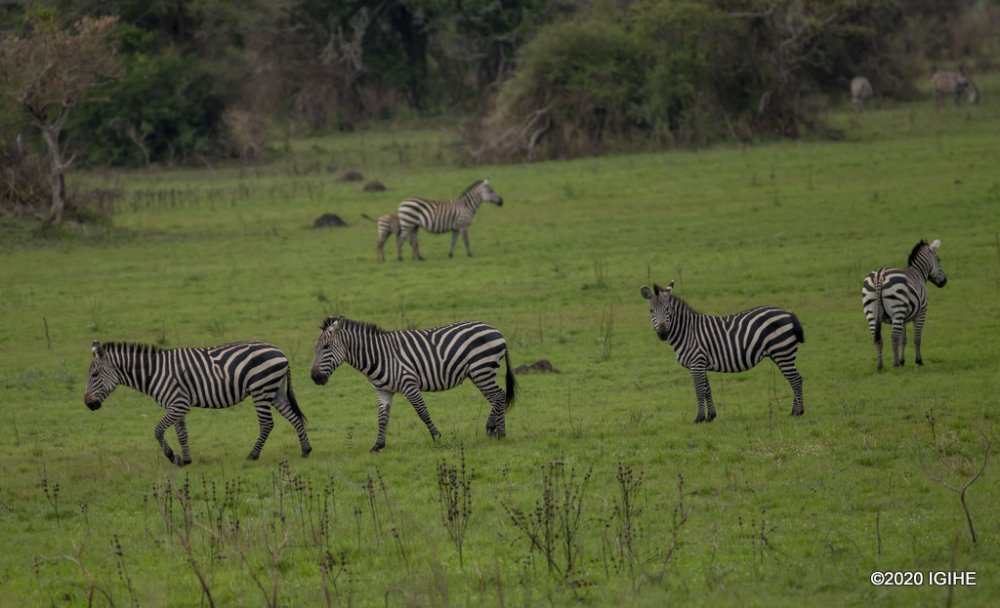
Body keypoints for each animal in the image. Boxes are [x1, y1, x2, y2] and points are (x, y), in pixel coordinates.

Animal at [84, 340, 312, 466]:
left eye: (94, 375)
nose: (87, 404)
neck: (154, 372)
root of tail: (281, 353)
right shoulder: (177, 405)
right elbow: (182, 434)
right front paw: (185, 460)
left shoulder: (178, 404)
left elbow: (158, 430)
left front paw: (171, 456)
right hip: (275, 391)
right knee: (294, 418)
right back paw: (306, 451)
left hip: (261, 389)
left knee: (266, 424)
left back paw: (252, 456)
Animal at [310, 315, 516, 452]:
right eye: (315, 348)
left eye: (326, 347)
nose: (314, 377)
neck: (378, 356)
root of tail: (496, 331)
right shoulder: (383, 391)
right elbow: (382, 418)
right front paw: (378, 445)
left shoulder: (409, 384)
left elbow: (422, 412)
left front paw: (436, 437)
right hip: (479, 373)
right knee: (498, 396)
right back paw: (494, 429)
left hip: (482, 370)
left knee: (499, 396)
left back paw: (499, 432)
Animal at [640, 281, 805, 423]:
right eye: (651, 310)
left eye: (668, 310)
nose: (662, 333)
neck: (687, 331)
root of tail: (789, 312)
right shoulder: (701, 364)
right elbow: (707, 389)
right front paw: (711, 416)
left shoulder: (696, 363)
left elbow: (699, 391)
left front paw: (699, 418)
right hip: (781, 353)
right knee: (794, 379)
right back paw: (795, 411)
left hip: (782, 351)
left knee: (795, 379)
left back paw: (798, 412)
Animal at [861, 239, 947, 371]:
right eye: (938, 259)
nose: (944, 282)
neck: (918, 272)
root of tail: (879, 276)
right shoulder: (921, 313)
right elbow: (916, 338)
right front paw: (918, 361)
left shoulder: (904, 318)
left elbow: (904, 339)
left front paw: (903, 361)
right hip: (897, 310)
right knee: (893, 337)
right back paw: (895, 364)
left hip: (872, 312)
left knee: (878, 339)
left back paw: (880, 366)